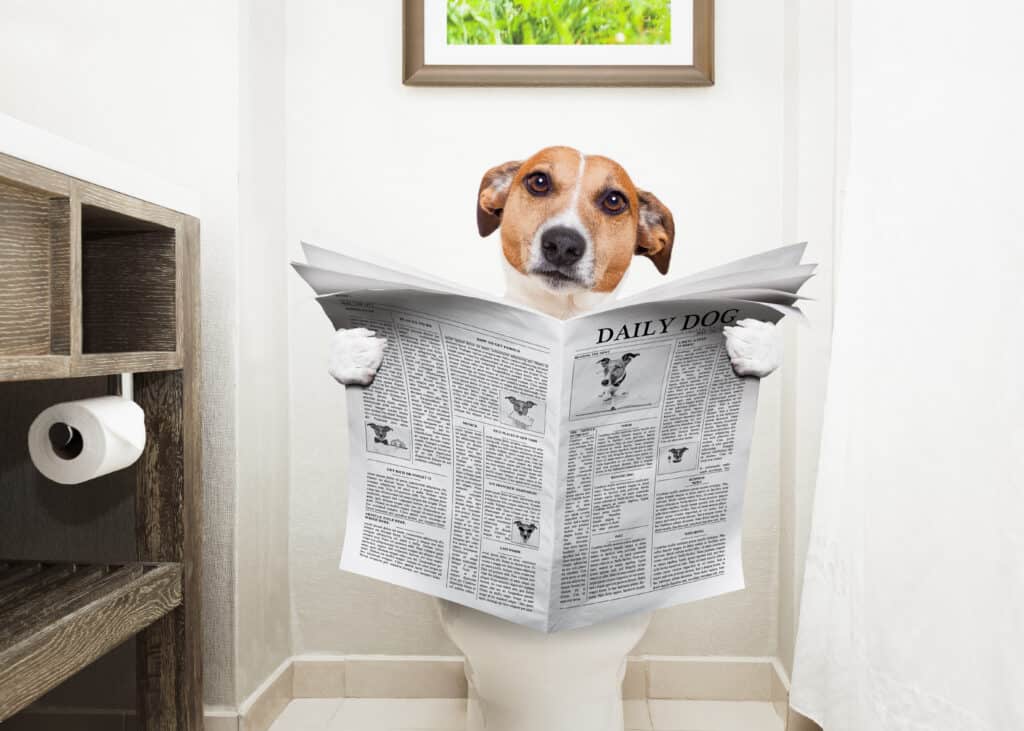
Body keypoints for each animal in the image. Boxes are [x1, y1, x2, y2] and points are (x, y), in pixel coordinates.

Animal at [327, 146, 782, 387]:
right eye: (538, 181)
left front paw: (755, 345)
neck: (560, 315)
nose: (563, 243)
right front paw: (354, 352)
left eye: (614, 200)